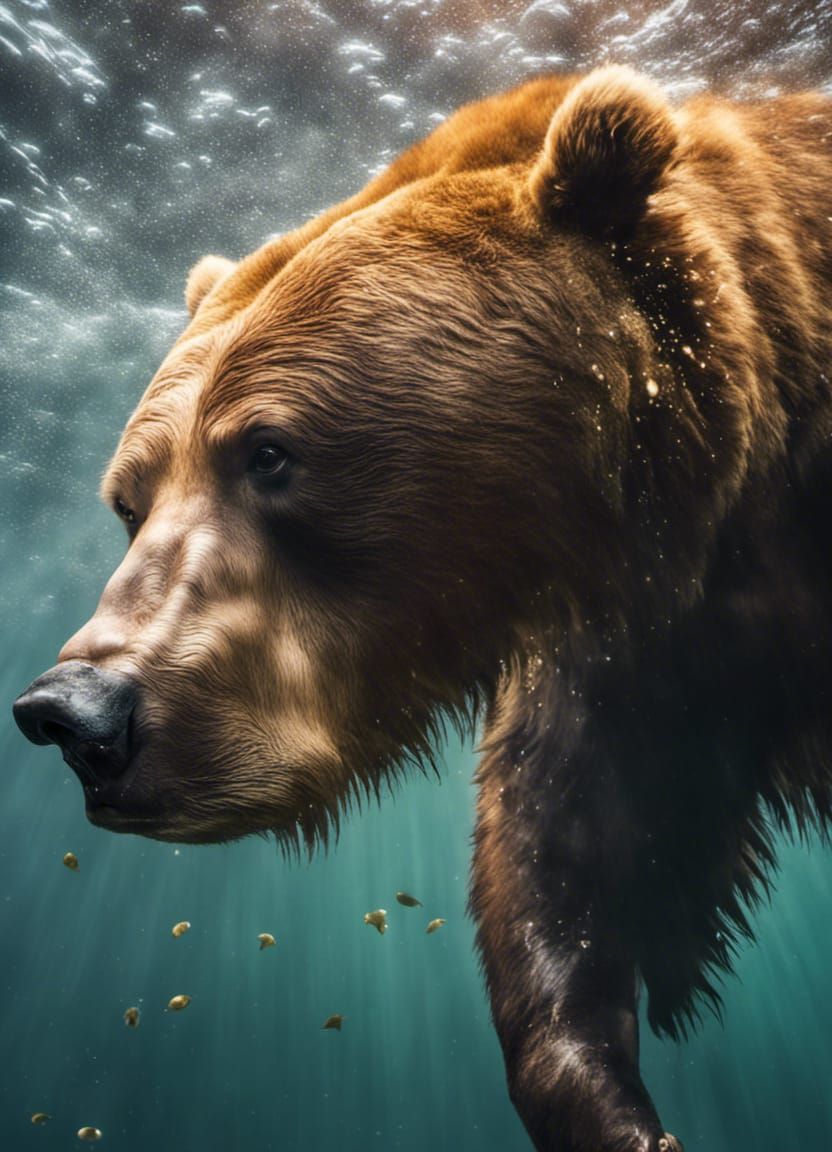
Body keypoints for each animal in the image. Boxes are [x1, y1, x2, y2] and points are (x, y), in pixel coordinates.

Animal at [12, 65, 832, 1151]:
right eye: (129, 500)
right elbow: (566, 858)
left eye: (268, 452)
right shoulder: (637, 649)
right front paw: (608, 1096)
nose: (76, 713)